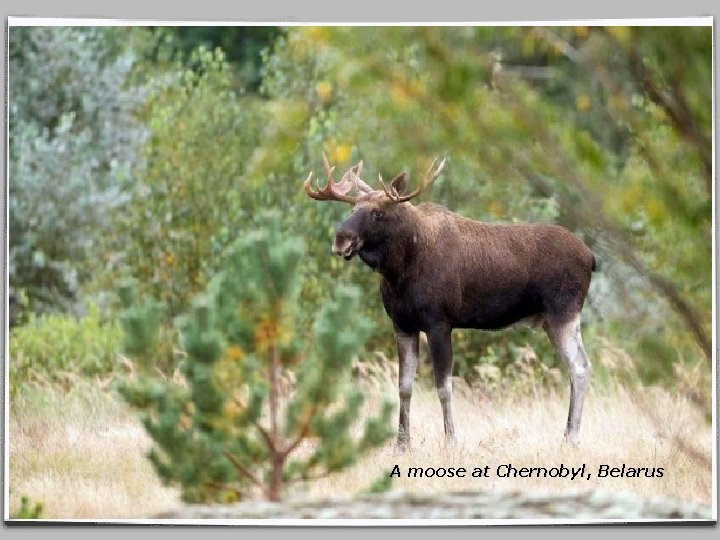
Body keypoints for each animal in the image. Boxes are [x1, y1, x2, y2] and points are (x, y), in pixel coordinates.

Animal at [304, 154, 596, 449]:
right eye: (353, 207)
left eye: (378, 212)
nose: (341, 239)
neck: (400, 270)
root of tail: (591, 258)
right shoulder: (402, 324)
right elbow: (404, 387)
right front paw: (402, 443)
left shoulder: (439, 322)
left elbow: (444, 387)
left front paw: (451, 441)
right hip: (551, 320)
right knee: (577, 367)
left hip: (563, 313)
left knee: (580, 367)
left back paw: (571, 437)